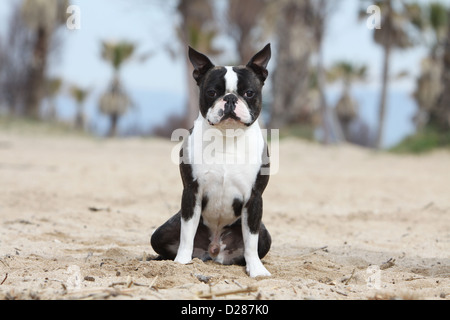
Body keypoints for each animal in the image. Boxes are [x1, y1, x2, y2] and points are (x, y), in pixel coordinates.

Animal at [150, 43, 270, 276]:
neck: (227, 137)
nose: (230, 98)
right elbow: (187, 233)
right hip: (160, 233)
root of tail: (214, 250)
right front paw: (182, 262)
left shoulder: (254, 198)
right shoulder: (192, 192)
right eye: (212, 92)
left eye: (249, 93)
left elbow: (251, 240)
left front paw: (256, 270)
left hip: (266, 238)